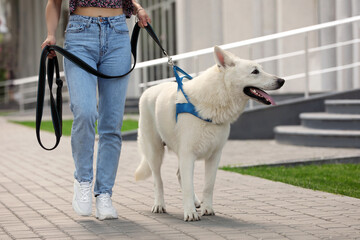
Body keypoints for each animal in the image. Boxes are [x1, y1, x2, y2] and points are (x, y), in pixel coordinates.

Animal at [135, 46, 284, 221]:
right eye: (255, 71)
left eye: (261, 69)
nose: (282, 81)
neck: (217, 97)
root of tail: (148, 91)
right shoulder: (188, 154)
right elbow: (187, 186)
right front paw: (190, 213)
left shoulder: (214, 155)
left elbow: (208, 185)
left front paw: (207, 209)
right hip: (155, 152)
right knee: (158, 180)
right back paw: (159, 205)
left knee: (179, 175)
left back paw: (195, 201)